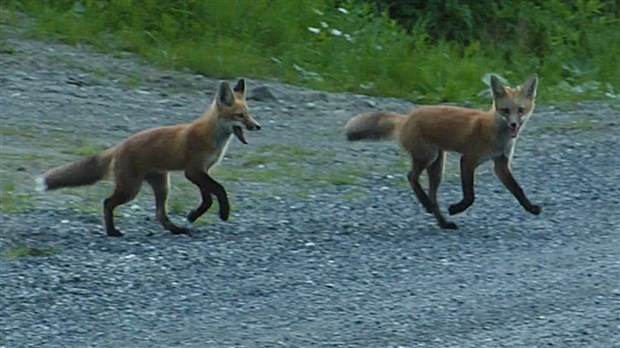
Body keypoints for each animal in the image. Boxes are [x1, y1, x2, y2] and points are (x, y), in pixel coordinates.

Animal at [37, 79, 260, 237]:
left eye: (249, 114)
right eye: (240, 115)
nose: (257, 126)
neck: (212, 137)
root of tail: (119, 146)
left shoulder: (202, 172)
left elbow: (207, 199)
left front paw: (193, 215)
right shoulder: (193, 170)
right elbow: (219, 190)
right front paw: (224, 213)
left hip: (162, 185)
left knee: (159, 214)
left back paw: (177, 230)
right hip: (131, 189)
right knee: (108, 202)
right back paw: (112, 232)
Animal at [346, 75, 540, 230]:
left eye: (520, 110)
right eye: (505, 110)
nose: (514, 125)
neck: (496, 136)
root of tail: (407, 117)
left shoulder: (501, 164)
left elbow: (518, 190)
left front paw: (530, 208)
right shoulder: (468, 160)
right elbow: (470, 196)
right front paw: (456, 208)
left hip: (437, 166)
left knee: (432, 195)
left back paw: (443, 222)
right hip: (428, 157)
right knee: (411, 177)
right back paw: (427, 205)